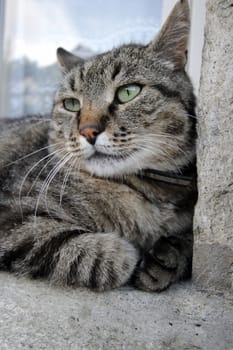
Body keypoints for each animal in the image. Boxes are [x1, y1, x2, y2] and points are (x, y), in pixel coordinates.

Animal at [0, 0, 197, 292]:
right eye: (72, 104)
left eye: (128, 92)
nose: (88, 130)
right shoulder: (13, 216)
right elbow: (92, 253)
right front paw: (132, 251)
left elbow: (187, 241)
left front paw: (168, 256)